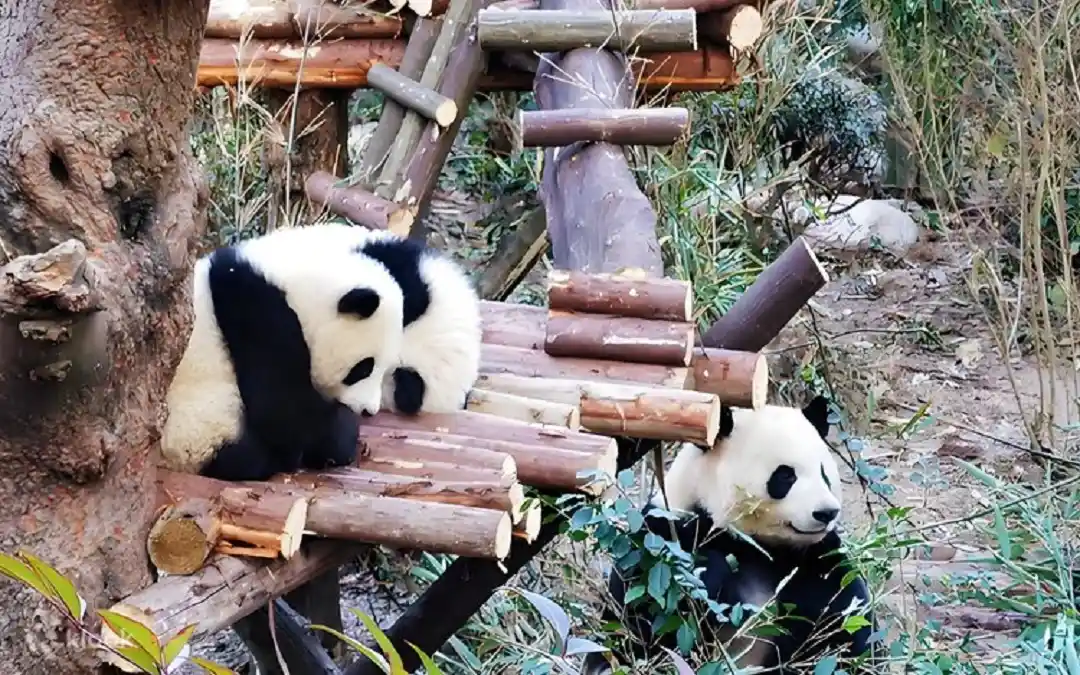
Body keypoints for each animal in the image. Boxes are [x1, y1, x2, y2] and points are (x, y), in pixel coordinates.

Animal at [161, 224, 406, 482]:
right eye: (364, 367)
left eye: (387, 371)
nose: (369, 411)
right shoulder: (256, 311)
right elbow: (285, 410)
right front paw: (343, 434)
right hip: (198, 427)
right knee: (246, 457)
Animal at [583, 396, 877, 674]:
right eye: (785, 476)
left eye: (824, 473)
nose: (826, 513)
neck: (758, 545)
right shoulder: (667, 533)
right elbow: (645, 613)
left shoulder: (814, 558)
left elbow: (844, 614)